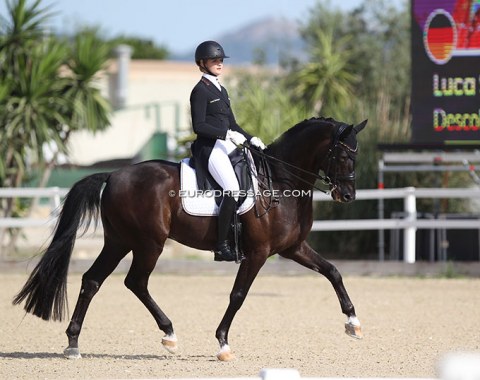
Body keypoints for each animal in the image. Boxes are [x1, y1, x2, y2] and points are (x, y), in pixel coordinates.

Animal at [13, 117, 366, 360]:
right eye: (340, 155)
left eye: (356, 157)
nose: (348, 195)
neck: (279, 181)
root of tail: (113, 174)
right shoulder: (258, 253)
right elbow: (238, 295)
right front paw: (223, 343)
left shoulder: (293, 248)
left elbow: (333, 271)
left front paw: (353, 322)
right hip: (148, 243)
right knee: (135, 282)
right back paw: (168, 333)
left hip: (118, 241)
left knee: (92, 280)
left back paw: (73, 343)